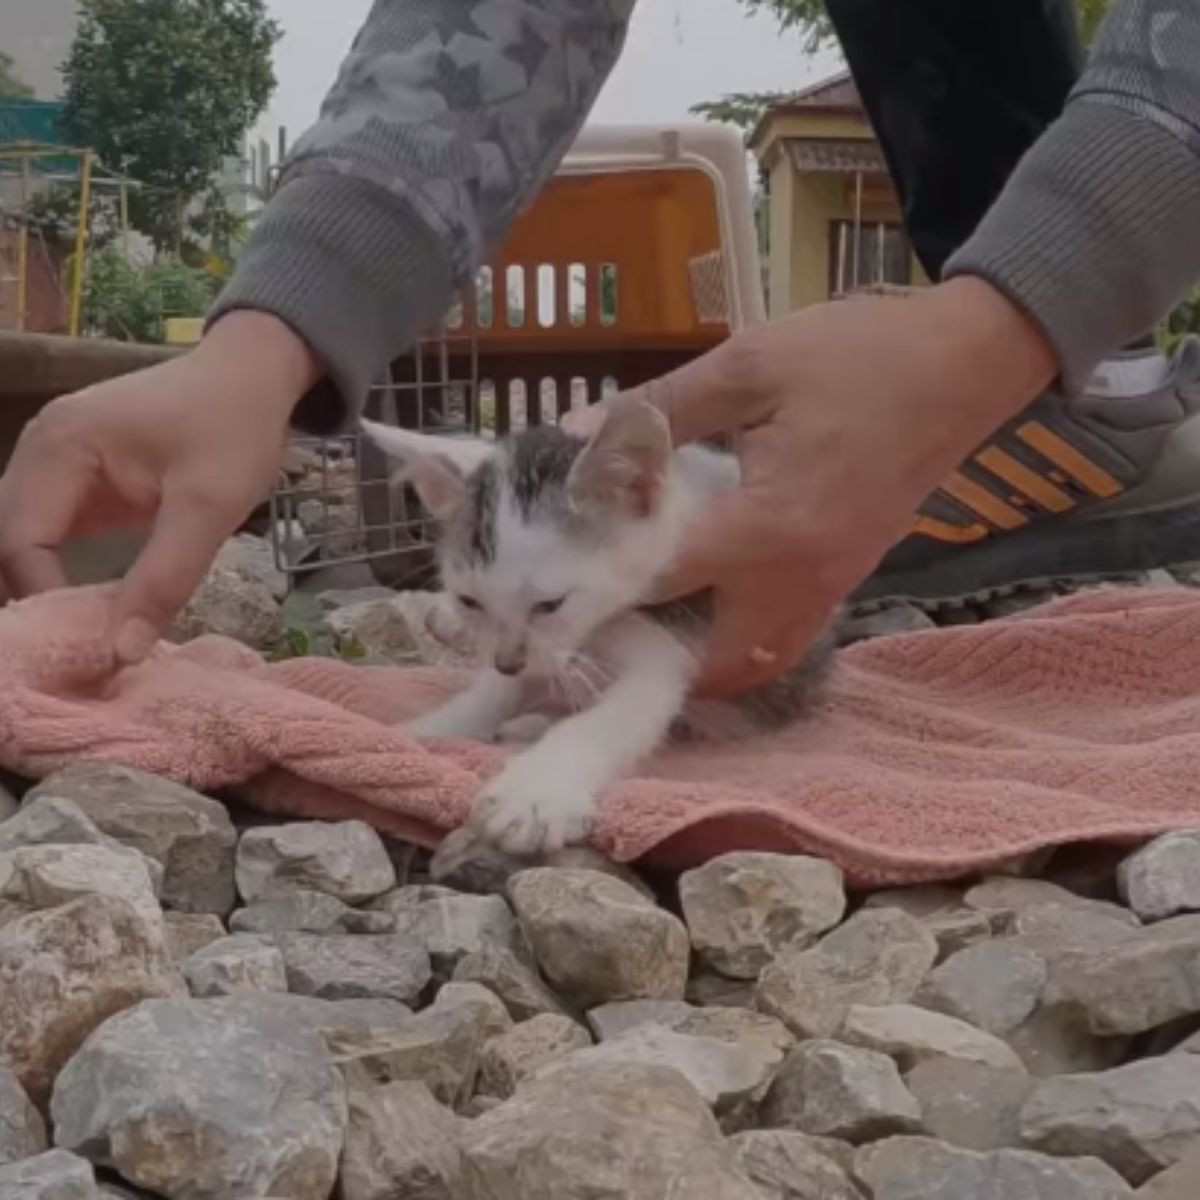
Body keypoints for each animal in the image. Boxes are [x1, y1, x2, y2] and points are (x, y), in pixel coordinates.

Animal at [362, 403, 835, 854]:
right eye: (470, 602)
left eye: (551, 604)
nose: (509, 662)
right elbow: (497, 691)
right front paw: (424, 730)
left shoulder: (674, 627)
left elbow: (611, 716)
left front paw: (535, 793)